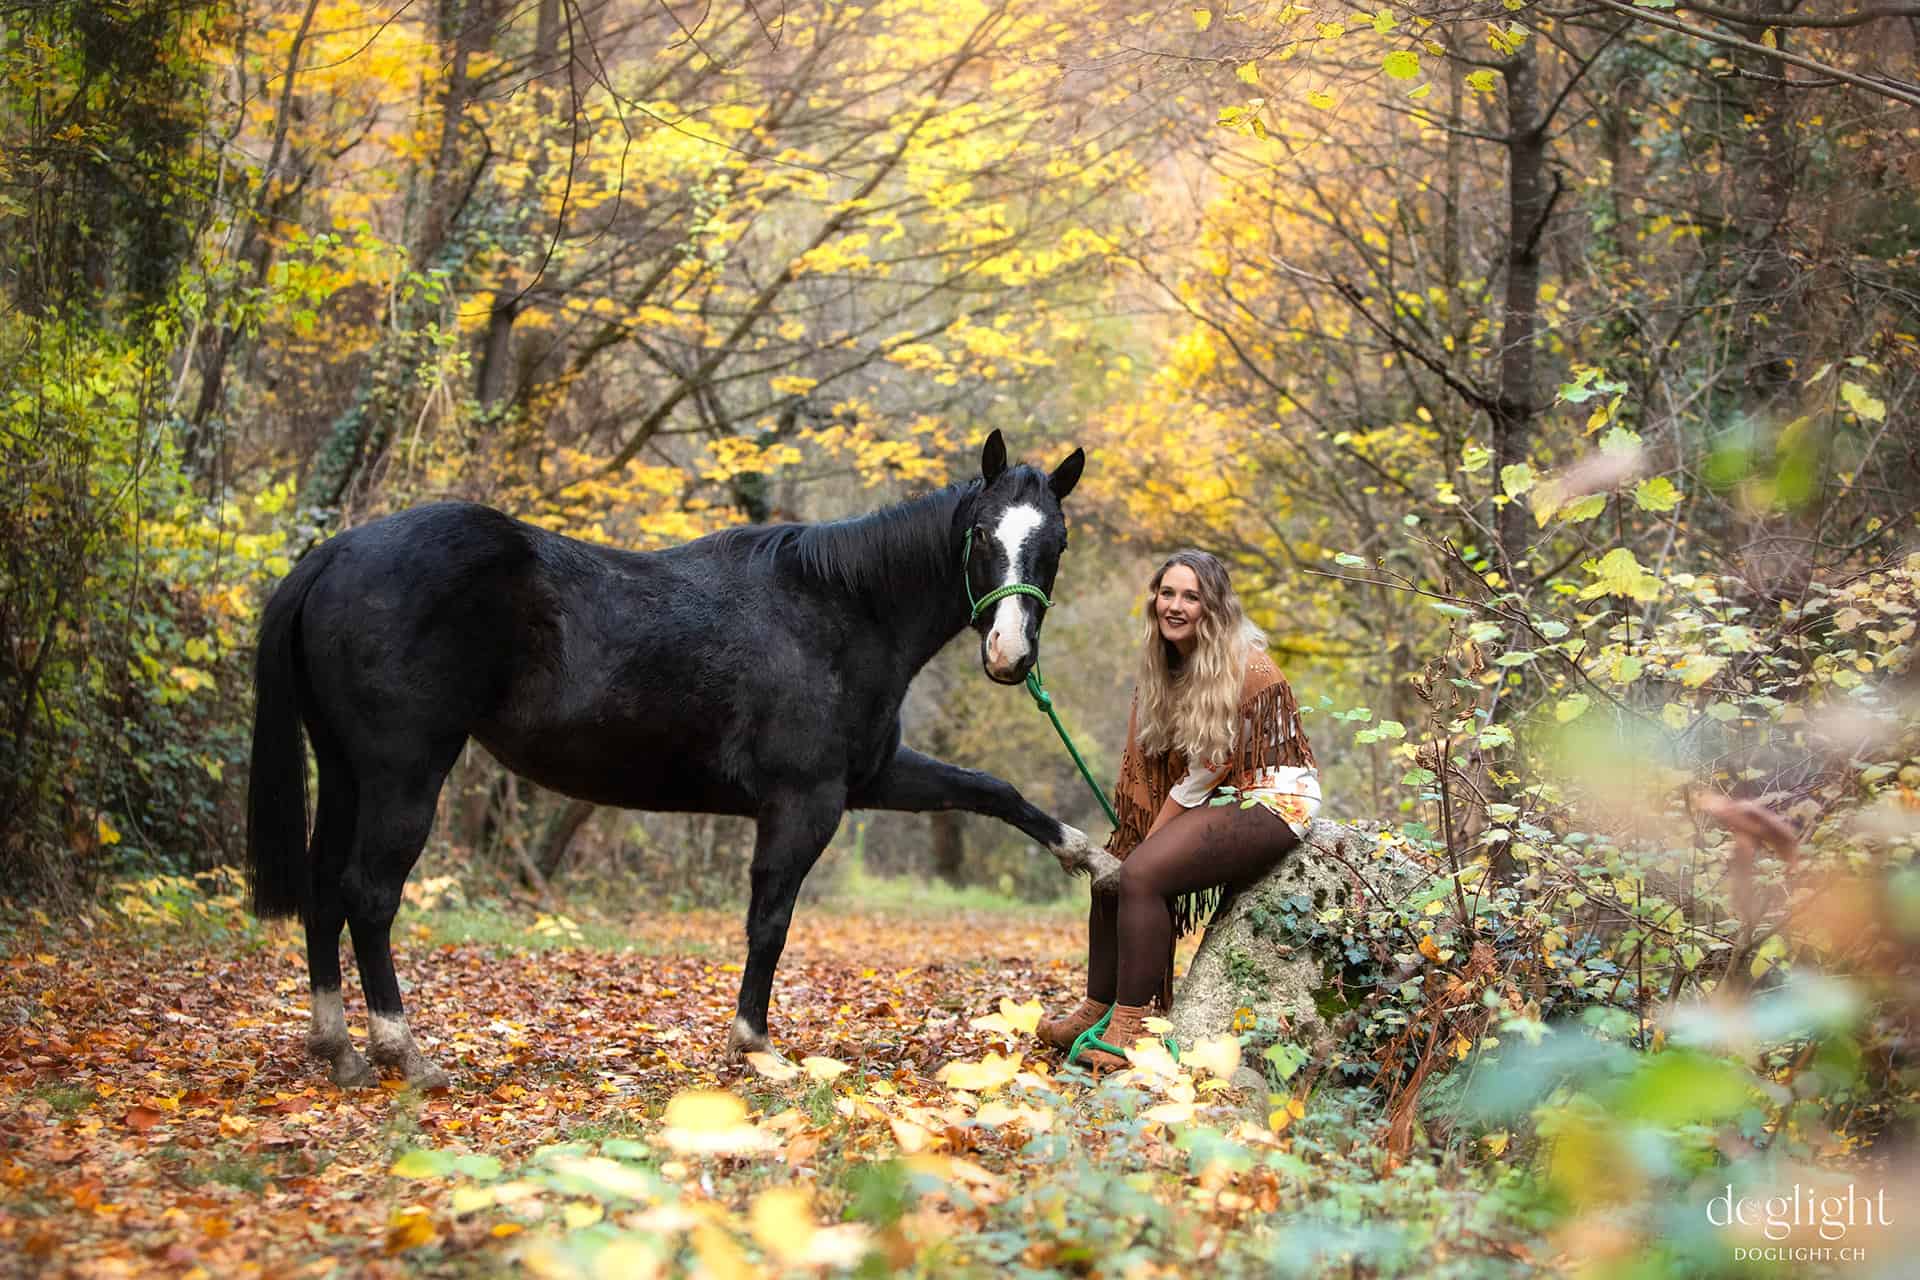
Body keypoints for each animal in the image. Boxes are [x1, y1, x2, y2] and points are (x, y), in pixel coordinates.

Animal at [243, 435, 1113, 1090]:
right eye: (982, 535)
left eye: (1056, 542)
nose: (1009, 655)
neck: (839, 609)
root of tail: (335, 553)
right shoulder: (805, 801)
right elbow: (770, 921)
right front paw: (756, 1046)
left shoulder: (871, 779)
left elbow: (994, 791)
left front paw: (1092, 858)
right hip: (405, 773)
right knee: (369, 893)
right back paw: (404, 1053)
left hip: (347, 771)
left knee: (324, 888)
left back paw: (339, 1050)